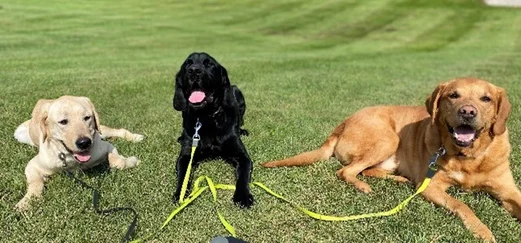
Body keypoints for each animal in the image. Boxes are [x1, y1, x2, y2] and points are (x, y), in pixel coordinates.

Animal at [173, 52, 254, 208]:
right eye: (187, 64)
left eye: (209, 64)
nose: (194, 70)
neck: (207, 118)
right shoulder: (186, 156)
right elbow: (183, 176)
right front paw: (180, 193)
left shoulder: (242, 156)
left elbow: (243, 176)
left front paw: (242, 196)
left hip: (238, 93)